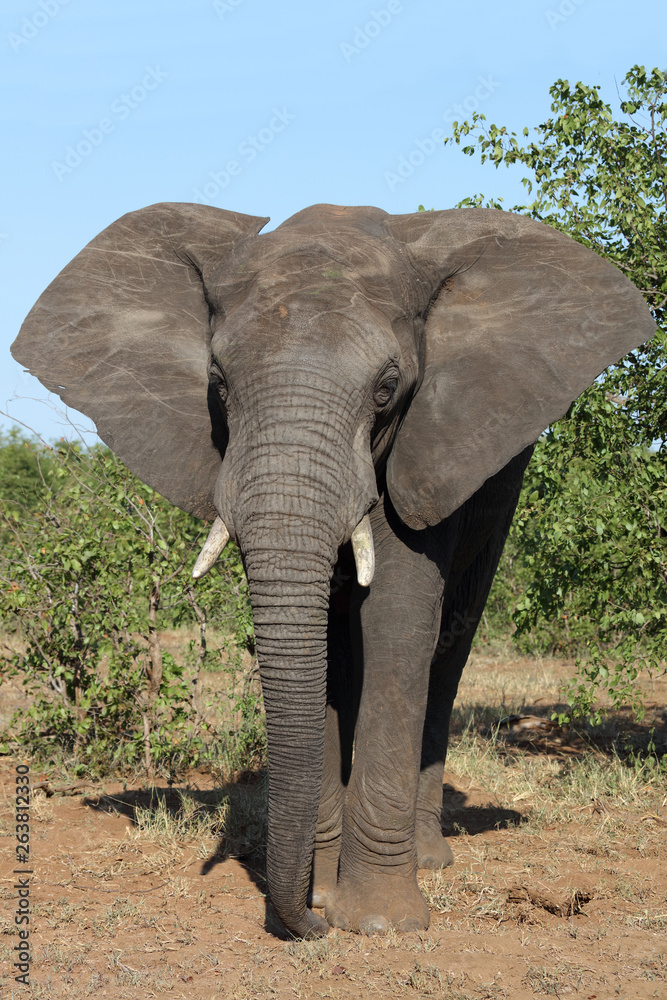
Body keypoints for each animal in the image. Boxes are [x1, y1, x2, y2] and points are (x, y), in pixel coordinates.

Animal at [12, 202, 655, 938]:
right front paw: (322, 896)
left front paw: (377, 923)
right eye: (218, 384)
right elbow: (319, 637)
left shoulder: (424, 444)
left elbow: (397, 621)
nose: (307, 924)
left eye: (387, 389)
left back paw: (429, 859)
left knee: (449, 644)